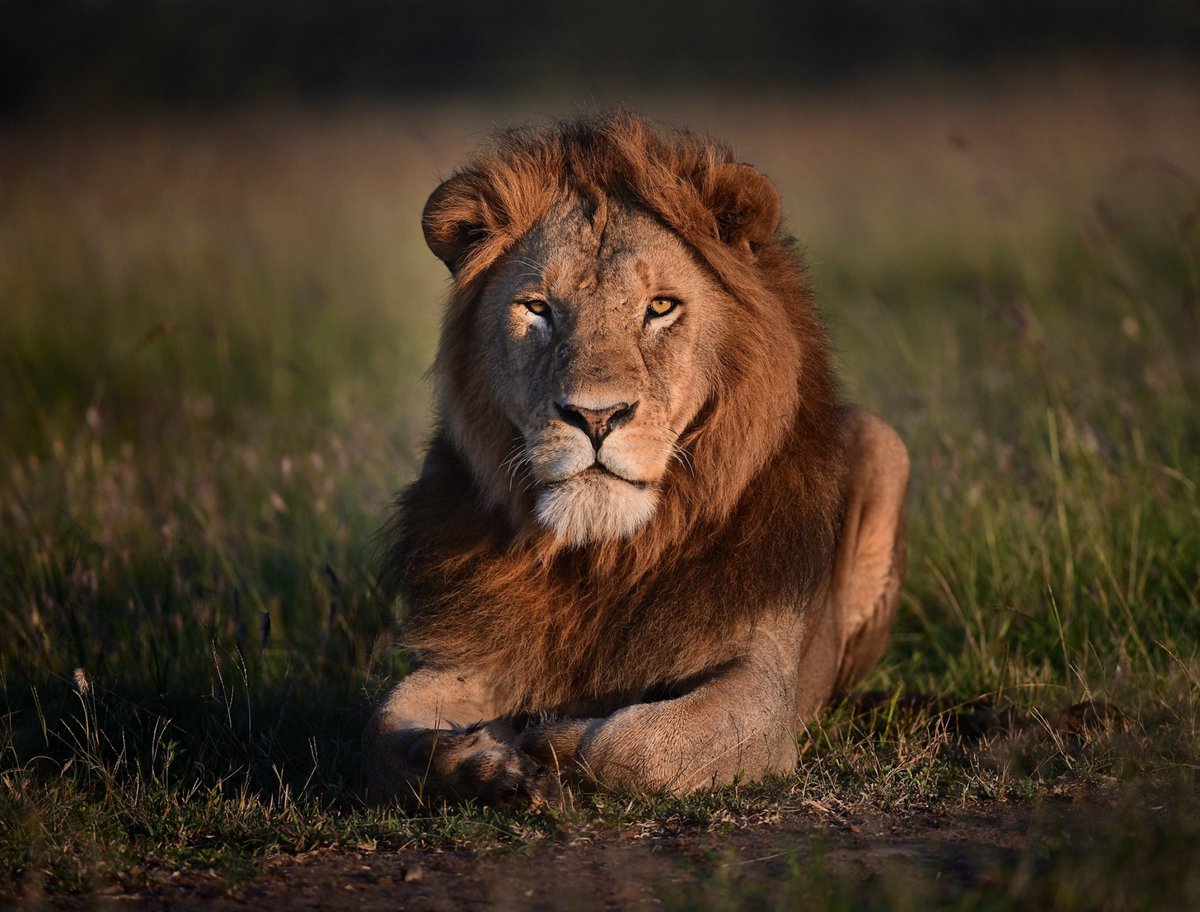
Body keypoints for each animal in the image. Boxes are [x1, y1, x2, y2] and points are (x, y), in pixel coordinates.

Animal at [363, 113, 910, 807]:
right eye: (538, 308)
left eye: (660, 307)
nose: (595, 417)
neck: (607, 558)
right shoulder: (474, 656)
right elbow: (383, 732)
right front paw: (481, 764)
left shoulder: (763, 687)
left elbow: (633, 745)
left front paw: (550, 741)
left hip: (882, 443)